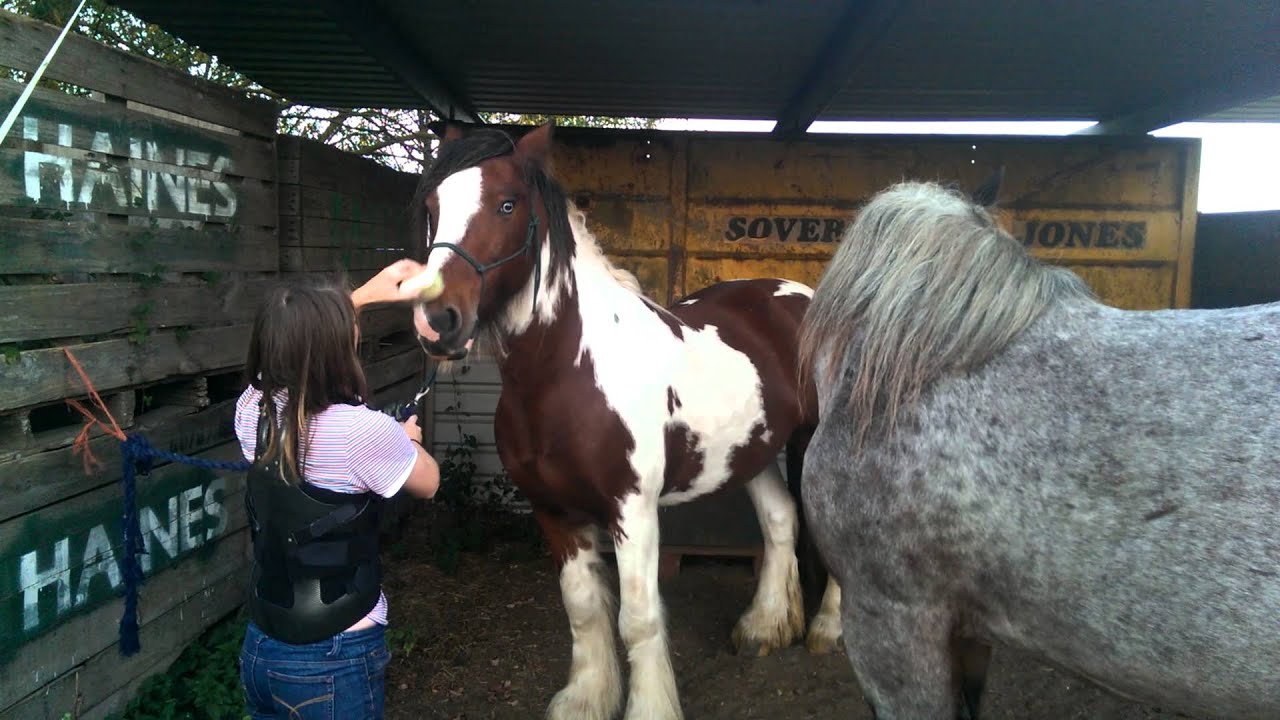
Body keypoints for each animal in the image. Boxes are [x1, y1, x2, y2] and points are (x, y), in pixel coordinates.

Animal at [403, 122, 843, 720]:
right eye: (431, 207)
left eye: (506, 204)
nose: (437, 321)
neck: (567, 374)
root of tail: (802, 296)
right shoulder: (554, 513)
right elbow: (584, 610)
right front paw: (586, 698)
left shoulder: (632, 512)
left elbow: (637, 621)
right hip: (752, 452)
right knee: (780, 520)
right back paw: (763, 627)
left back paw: (826, 630)